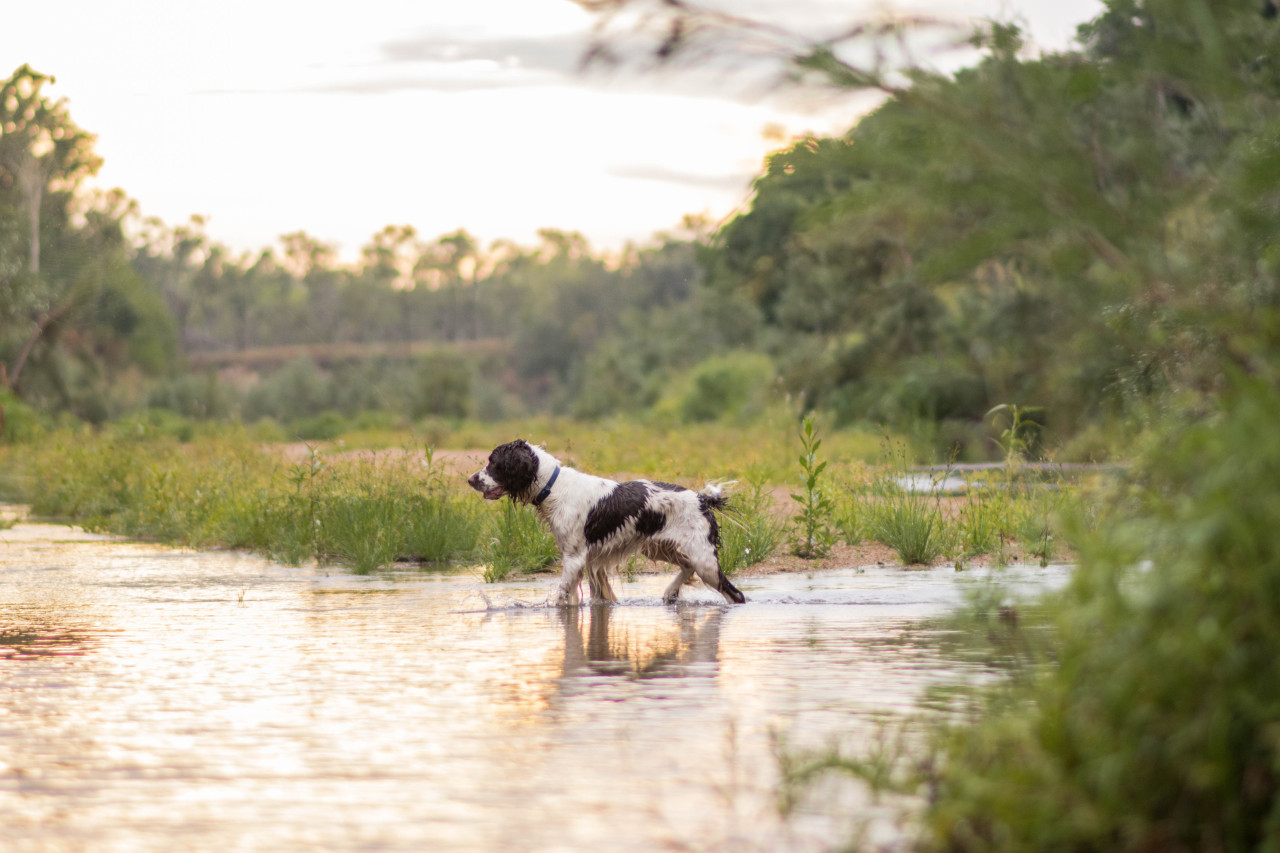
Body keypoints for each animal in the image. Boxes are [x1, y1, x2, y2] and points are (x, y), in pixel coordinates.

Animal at [468, 438, 747, 604]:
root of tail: (702, 498)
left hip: (705, 561)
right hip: (657, 547)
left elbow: (561, 596)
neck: (554, 487)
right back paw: (670, 592)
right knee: (687, 567)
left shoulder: (575, 558)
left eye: (494, 463)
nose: (470, 479)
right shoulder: (592, 561)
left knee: (735, 594)